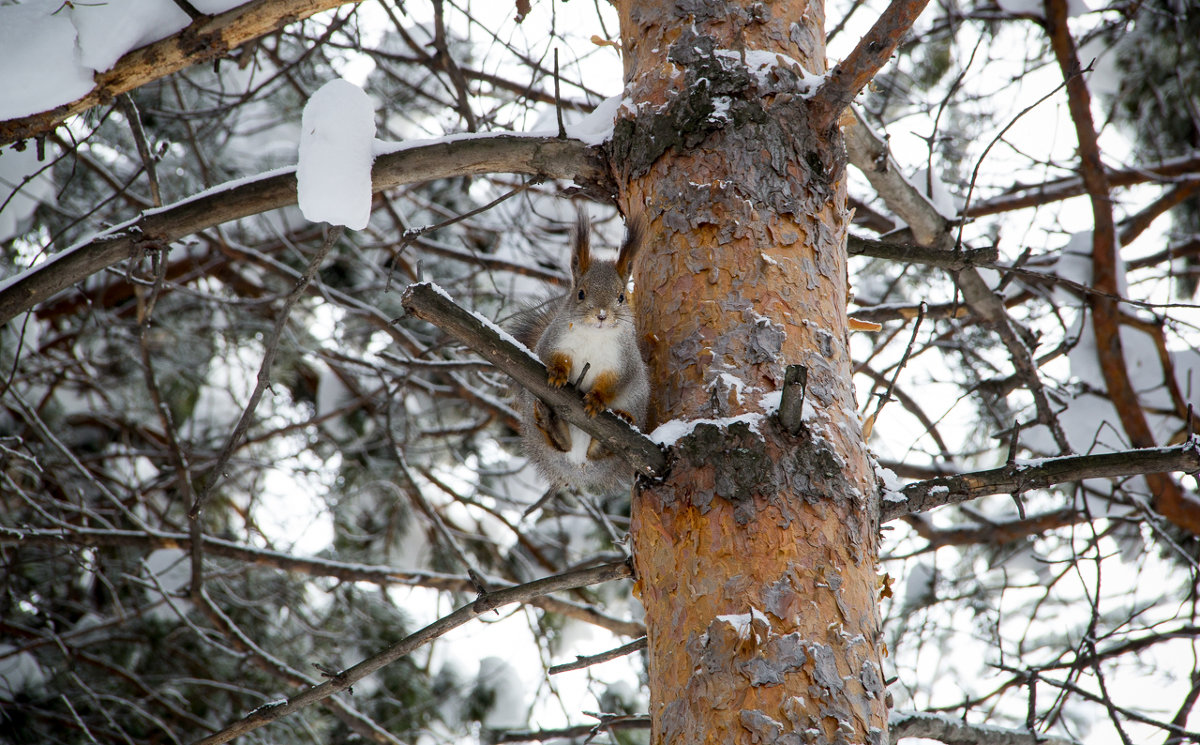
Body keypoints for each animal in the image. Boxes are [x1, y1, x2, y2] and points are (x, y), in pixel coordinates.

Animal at [513, 208, 652, 491]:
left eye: (621, 297)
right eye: (580, 293)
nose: (601, 315)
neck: (594, 336)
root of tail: (578, 466)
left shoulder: (623, 360)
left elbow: (615, 380)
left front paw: (597, 399)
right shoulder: (553, 340)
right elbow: (550, 356)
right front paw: (558, 372)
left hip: (637, 400)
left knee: (603, 452)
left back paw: (615, 430)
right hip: (532, 399)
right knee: (559, 444)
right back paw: (550, 423)